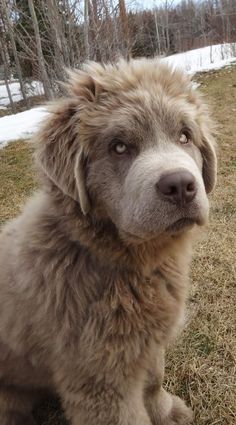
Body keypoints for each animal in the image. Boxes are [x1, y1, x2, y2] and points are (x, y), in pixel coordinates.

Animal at [0, 57, 217, 424]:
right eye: (119, 147)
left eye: (184, 136)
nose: (180, 186)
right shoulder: (99, 378)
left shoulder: (146, 341)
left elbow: (153, 379)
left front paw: (167, 411)